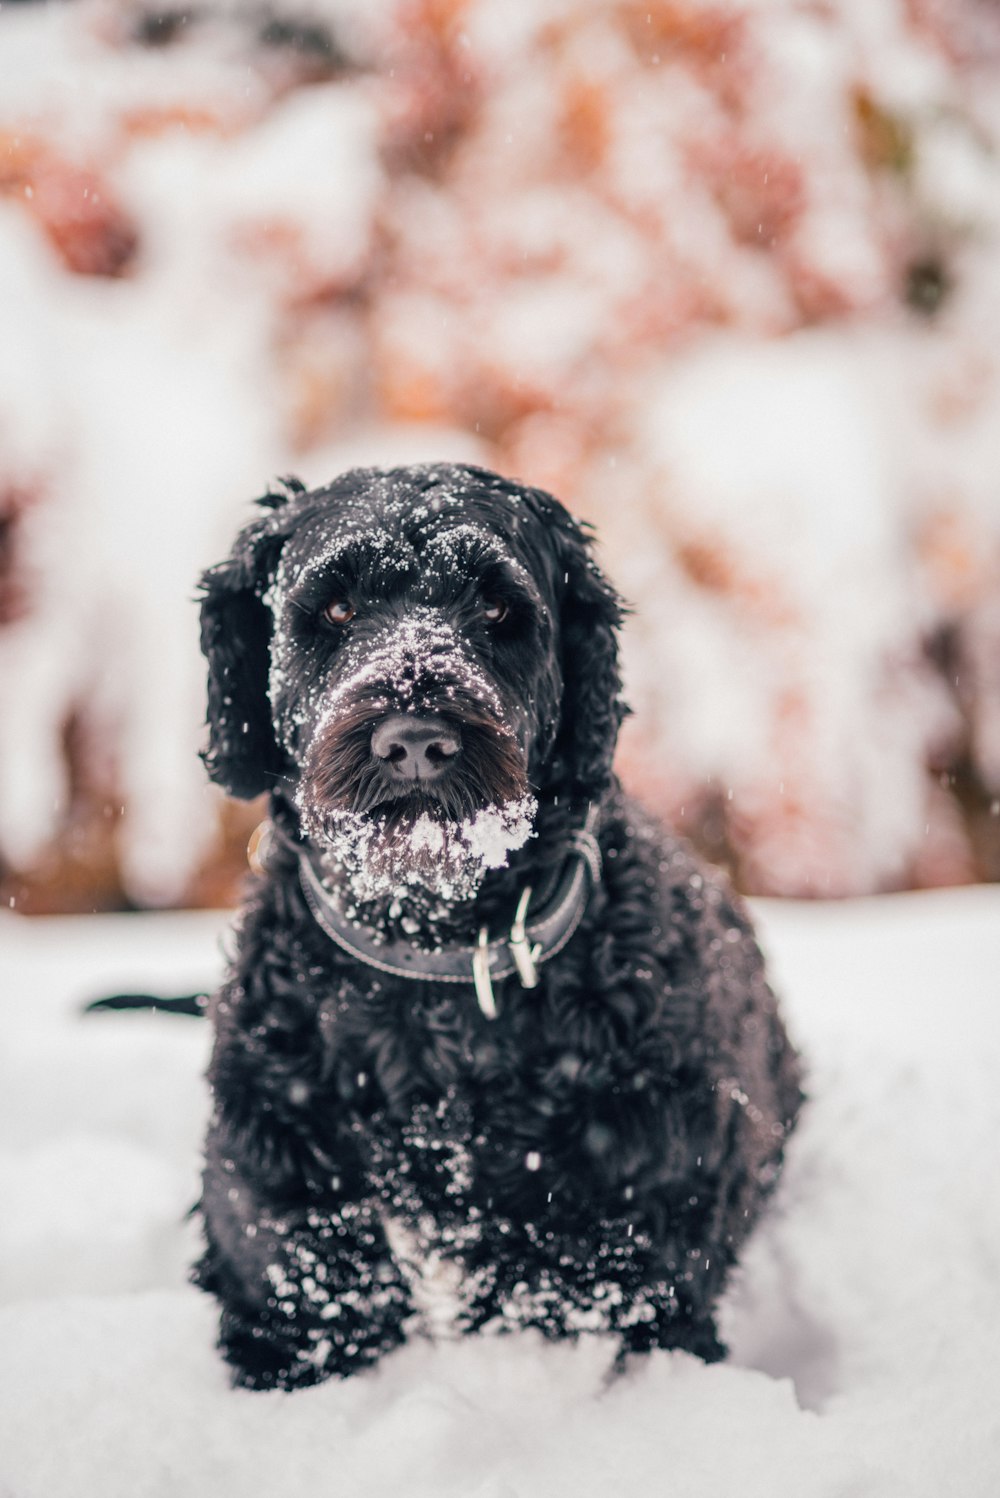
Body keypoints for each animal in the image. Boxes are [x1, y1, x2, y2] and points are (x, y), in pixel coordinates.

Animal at [193, 467, 802, 1390]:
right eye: (334, 607)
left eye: (496, 608)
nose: (415, 740)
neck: (433, 977)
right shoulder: (286, 1254)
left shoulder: (630, 1253)